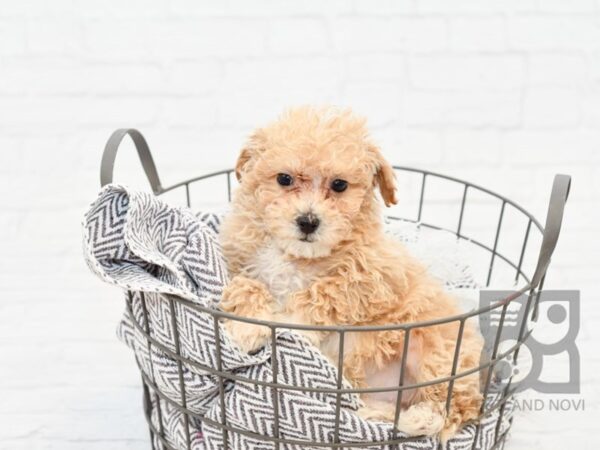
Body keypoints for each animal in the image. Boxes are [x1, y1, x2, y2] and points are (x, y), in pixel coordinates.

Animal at [219, 106, 482, 440]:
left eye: (340, 185)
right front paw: (246, 327)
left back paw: (420, 418)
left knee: (454, 404)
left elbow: (323, 294)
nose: (308, 222)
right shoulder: (241, 261)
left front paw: (286, 322)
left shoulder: (373, 276)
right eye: (284, 179)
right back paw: (375, 413)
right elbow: (247, 285)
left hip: (437, 350)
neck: (296, 255)